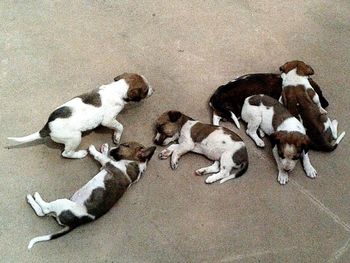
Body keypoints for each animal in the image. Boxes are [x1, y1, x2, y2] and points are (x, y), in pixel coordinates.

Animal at [6, 72, 153, 159]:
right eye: (146, 90)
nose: (154, 90)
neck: (116, 88)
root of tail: (47, 127)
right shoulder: (108, 120)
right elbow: (120, 126)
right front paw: (117, 136)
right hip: (75, 138)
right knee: (66, 153)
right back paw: (80, 154)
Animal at [28, 141, 157, 251]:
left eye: (125, 145)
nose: (112, 148)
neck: (135, 163)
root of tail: (75, 223)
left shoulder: (108, 163)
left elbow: (100, 156)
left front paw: (93, 149)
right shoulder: (104, 166)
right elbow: (103, 155)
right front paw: (104, 148)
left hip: (63, 203)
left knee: (44, 209)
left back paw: (35, 197)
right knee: (42, 212)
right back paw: (32, 199)